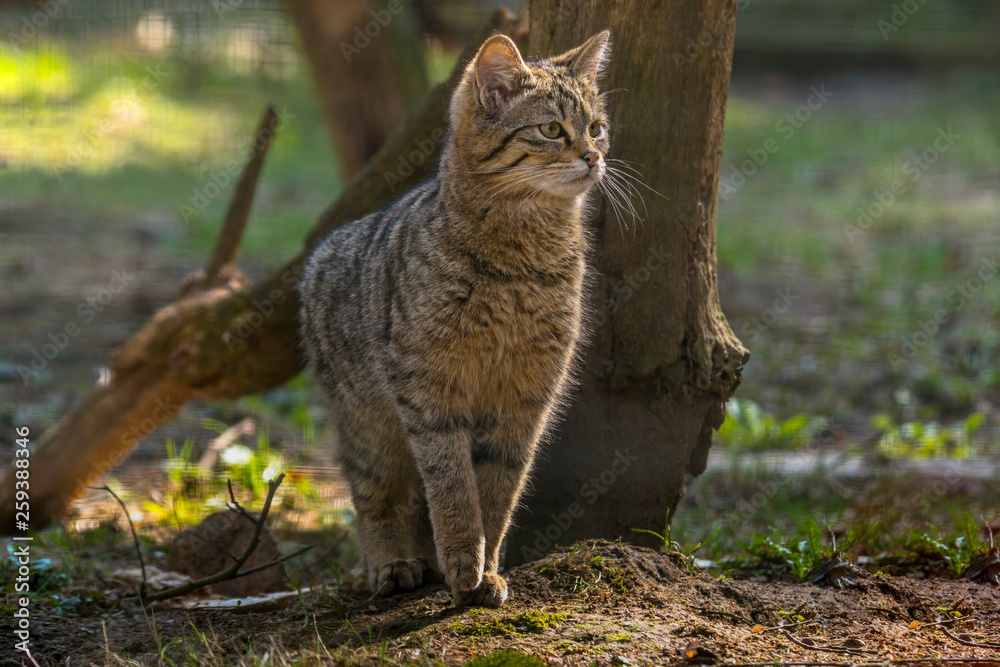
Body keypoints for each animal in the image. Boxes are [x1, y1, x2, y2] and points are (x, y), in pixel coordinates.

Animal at [298, 28, 608, 608]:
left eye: (597, 127)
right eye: (551, 129)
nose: (595, 156)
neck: (521, 262)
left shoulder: (527, 396)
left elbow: (499, 490)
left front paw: (486, 571)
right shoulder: (429, 392)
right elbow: (453, 487)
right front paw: (465, 560)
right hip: (369, 425)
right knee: (375, 496)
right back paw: (392, 563)